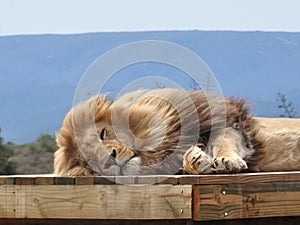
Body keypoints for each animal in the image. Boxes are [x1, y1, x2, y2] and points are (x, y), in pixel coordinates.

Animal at [54, 88, 300, 176]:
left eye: (102, 134)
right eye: (89, 162)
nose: (109, 159)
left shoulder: (229, 122)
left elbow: (225, 143)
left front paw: (226, 160)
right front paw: (197, 160)